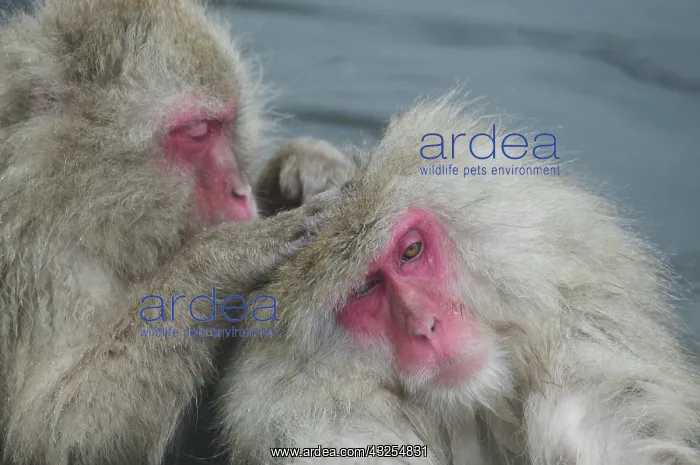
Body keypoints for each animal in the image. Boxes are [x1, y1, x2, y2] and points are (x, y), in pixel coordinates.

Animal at [0, 0, 352, 463]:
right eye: (197, 132)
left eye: (228, 124)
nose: (240, 191)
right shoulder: (39, 264)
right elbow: (58, 435)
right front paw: (228, 254)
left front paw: (305, 166)